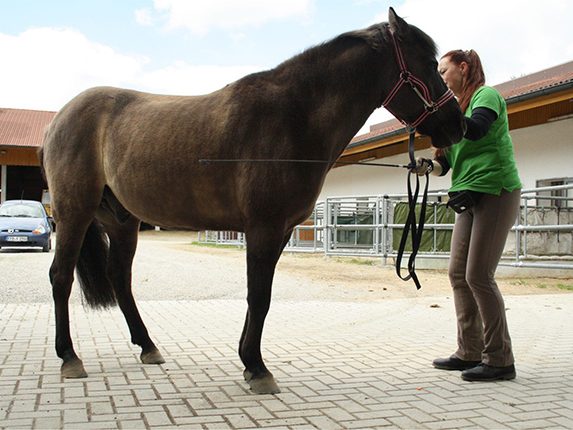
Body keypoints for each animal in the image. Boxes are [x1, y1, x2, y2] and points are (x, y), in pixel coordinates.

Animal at [40, 7, 462, 396]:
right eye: (428, 64)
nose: (457, 125)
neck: (293, 117)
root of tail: (59, 120)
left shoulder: (278, 232)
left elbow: (260, 297)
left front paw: (248, 360)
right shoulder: (263, 228)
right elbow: (259, 297)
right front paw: (257, 369)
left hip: (122, 221)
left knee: (120, 279)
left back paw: (147, 346)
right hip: (74, 213)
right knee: (60, 277)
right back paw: (70, 358)